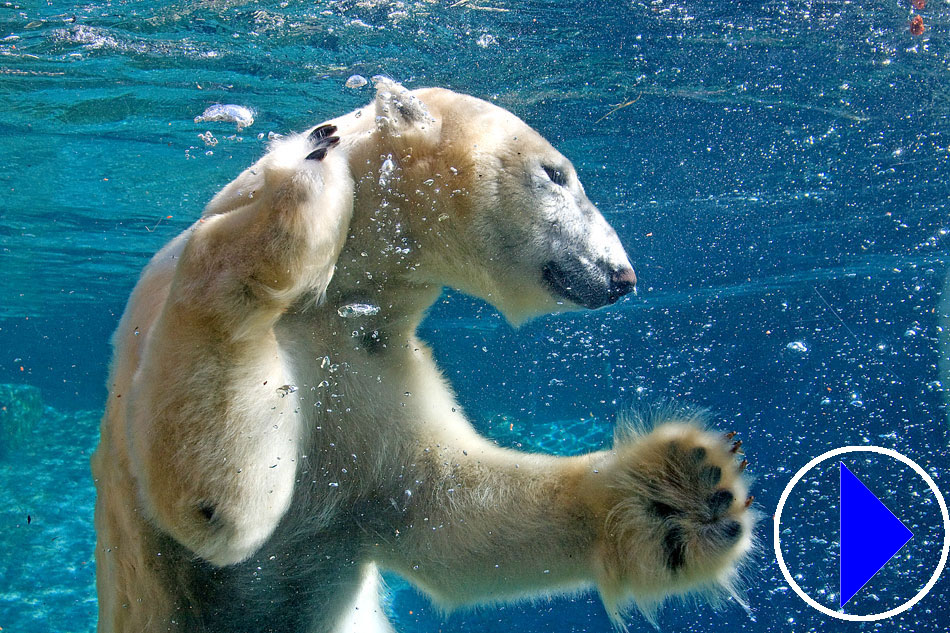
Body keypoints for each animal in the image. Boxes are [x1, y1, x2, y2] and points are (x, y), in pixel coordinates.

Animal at [93, 80, 756, 632]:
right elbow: (217, 502)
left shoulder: (378, 365)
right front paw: (302, 176)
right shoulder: (171, 324)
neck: (344, 298)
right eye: (557, 175)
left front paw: (682, 493)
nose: (623, 276)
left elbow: (447, 511)